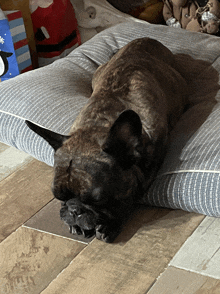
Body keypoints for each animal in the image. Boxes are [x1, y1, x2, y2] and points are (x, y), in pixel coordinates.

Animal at [25, 36, 187, 242]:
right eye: (58, 198)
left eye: (98, 199)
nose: (74, 210)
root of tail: (144, 39)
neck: (100, 124)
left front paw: (110, 225)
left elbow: (128, 201)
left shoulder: (149, 169)